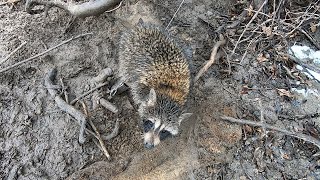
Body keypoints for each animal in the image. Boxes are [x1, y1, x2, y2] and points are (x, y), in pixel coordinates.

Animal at [117, 20, 192, 148]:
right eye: (151, 123)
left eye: (164, 131)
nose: (149, 146)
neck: (169, 91)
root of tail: (140, 26)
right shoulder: (140, 87)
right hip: (125, 52)